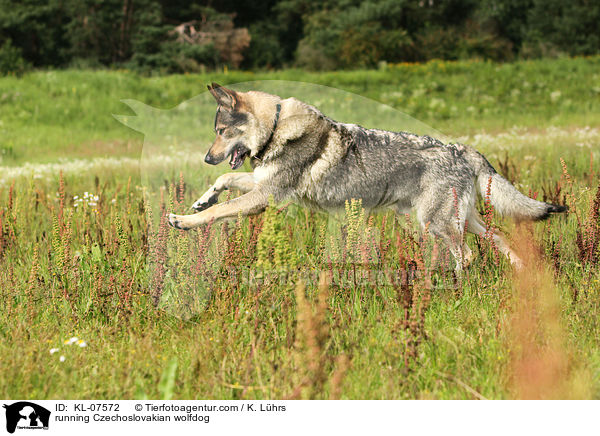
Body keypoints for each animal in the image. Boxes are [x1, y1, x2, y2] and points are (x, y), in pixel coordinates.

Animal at [166, 84, 564, 270]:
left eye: (221, 132)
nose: (207, 157)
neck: (277, 128)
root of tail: (461, 149)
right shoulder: (266, 187)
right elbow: (223, 184)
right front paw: (200, 199)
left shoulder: (268, 196)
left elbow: (217, 212)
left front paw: (183, 221)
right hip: (462, 220)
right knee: (498, 237)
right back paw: (523, 274)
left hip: (435, 224)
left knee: (466, 255)